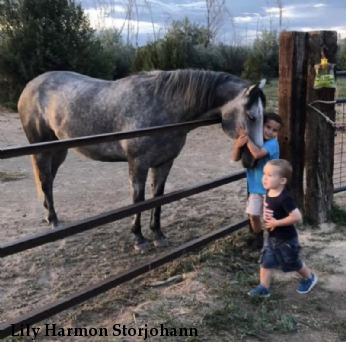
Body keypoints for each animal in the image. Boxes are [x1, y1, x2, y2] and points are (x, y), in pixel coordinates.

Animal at [17, 69, 266, 251]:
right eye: (252, 116)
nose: (254, 160)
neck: (164, 106)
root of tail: (30, 85)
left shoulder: (164, 163)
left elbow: (157, 198)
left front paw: (158, 234)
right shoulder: (138, 164)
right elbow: (139, 200)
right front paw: (139, 239)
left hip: (60, 150)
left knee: (48, 180)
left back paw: (50, 217)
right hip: (43, 149)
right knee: (45, 180)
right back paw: (53, 220)